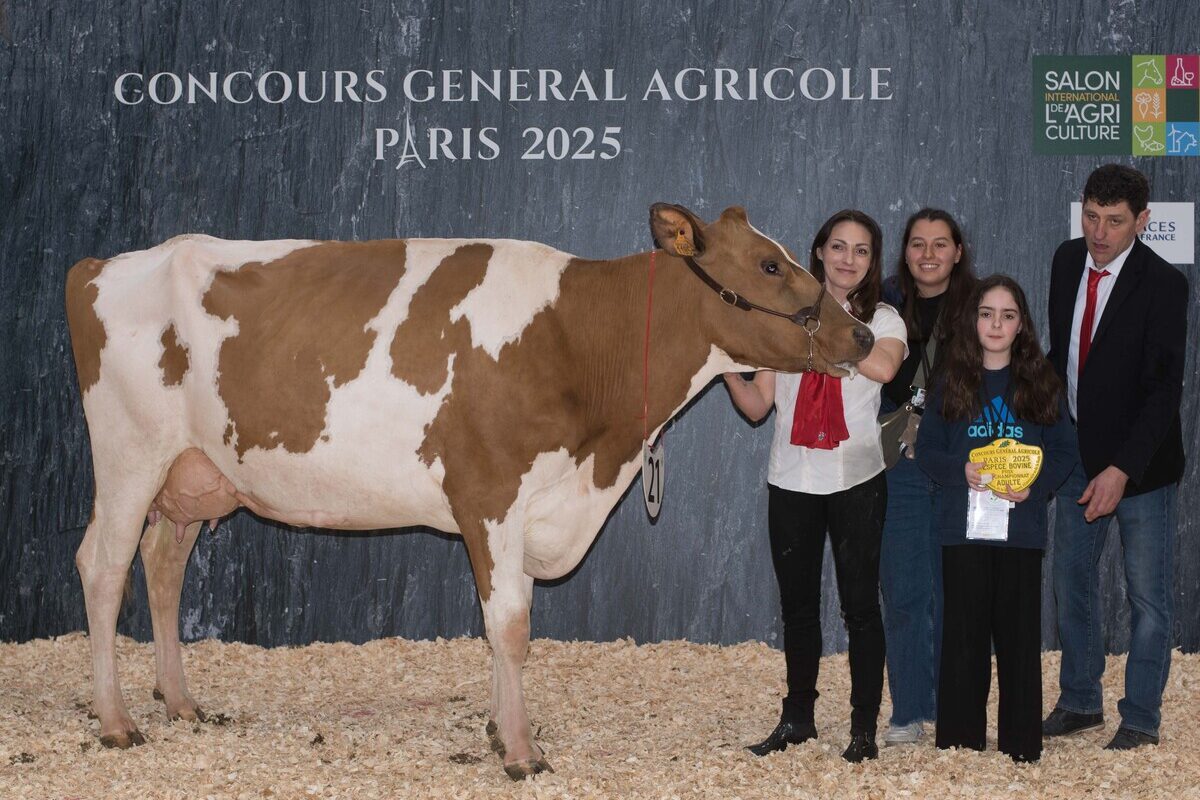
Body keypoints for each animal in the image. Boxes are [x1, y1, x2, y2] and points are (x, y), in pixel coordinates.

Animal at [65, 203, 873, 777]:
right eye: (768, 263)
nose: (863, 336)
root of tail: (106, 264)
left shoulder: (529, 503)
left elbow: (510, 624)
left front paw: (495, 728)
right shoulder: (489, 492)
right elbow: (509, 625)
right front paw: (519, 752)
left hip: (192, 475)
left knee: (162, 568)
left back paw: (181, 703)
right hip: (129, 455)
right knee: (103, 568)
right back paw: (117, 722)